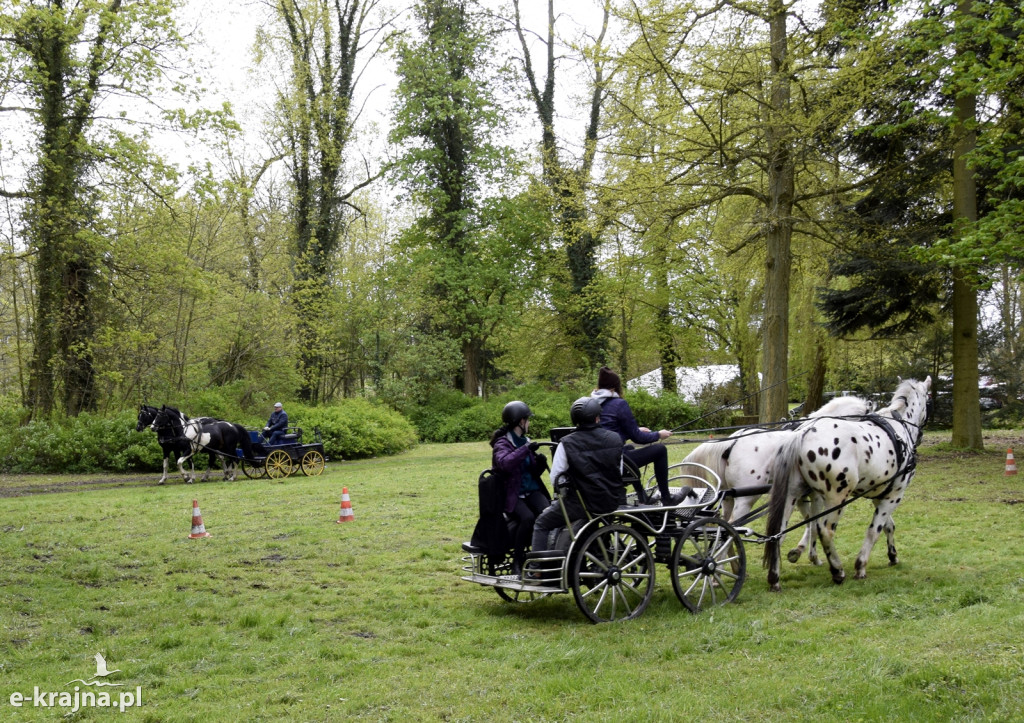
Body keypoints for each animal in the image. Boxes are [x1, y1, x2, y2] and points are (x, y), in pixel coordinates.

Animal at [765, 374, 933, 589]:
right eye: (929, 398)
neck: (899, 427)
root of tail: (802, 433)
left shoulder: (880, 495)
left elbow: (889, 526)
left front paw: (893, 555)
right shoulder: (894, 496)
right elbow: (874, 531)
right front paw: (861, 566)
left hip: (793, 495)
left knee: (778, 533)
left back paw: (774, 578)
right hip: (837, 499)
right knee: (825, 530)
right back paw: (837, 571)